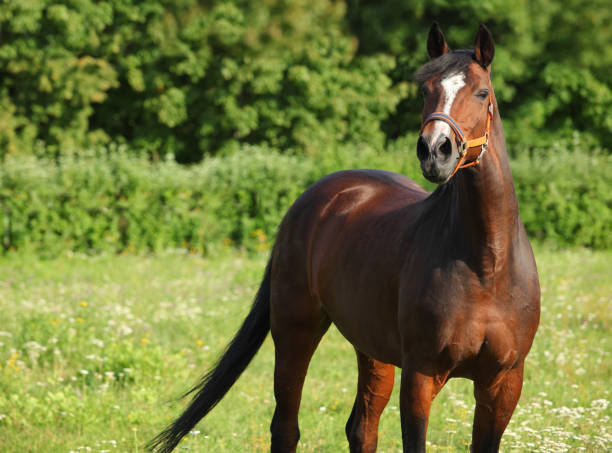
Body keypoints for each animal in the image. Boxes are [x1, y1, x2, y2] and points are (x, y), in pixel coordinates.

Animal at [149, 23, 540, 452]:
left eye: (482, 92)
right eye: (425, 89)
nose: (435, 151)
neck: (485, 263)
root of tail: (316, 197)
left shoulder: (503, 383)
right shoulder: (420, 375)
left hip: (372, 349)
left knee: (361, 427)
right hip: (295, 332)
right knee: (286, 426)